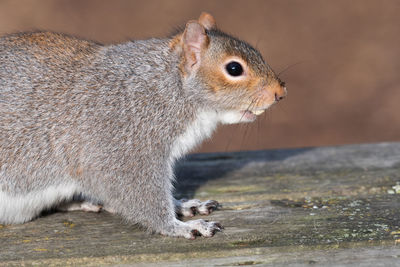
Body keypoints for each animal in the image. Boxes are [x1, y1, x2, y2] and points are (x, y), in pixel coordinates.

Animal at [0, 12, 286, 240]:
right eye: (234, 68)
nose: (280, 92)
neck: (167, 86)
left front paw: (182, 205)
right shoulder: (122, 139)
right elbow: (138, 193)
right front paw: (181, 226)